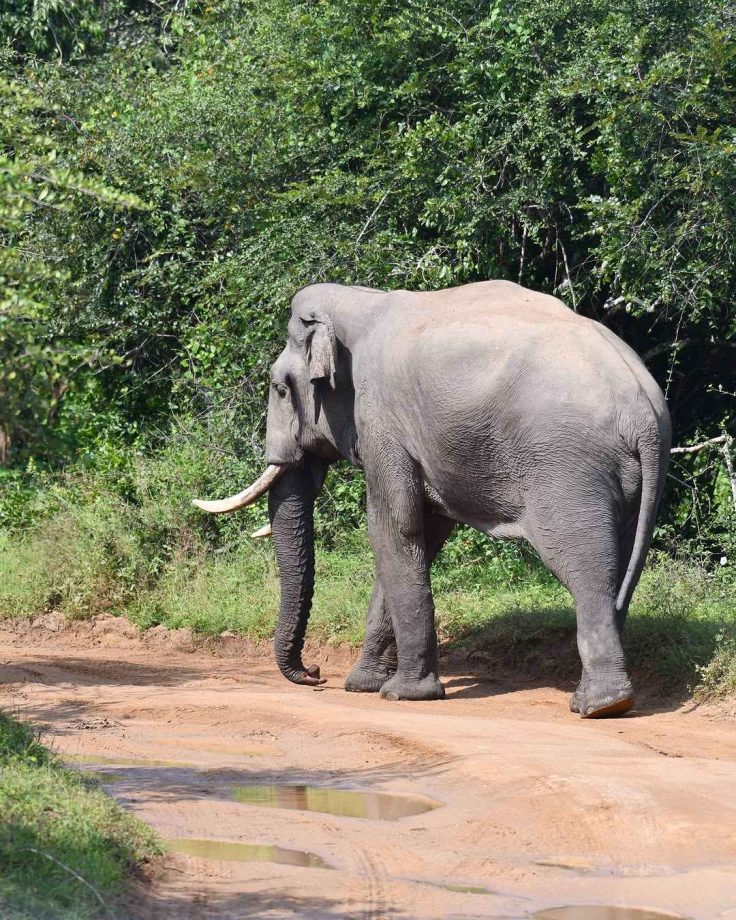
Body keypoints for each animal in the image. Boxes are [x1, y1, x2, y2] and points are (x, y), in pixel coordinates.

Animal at [196, 280, 672, 720]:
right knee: (620, 569)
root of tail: (645, 415)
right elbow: (421, 534)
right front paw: (363, 685)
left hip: (567, 468)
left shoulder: (380, 419)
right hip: (625, 478)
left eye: (278, 388)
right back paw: (599, 699)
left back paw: (599, 707)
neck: (359, 302)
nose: (314, 673)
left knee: (583, 567)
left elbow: (392, 528)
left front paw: (401, 694)